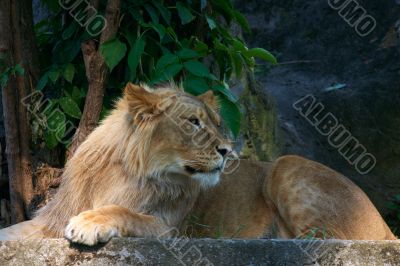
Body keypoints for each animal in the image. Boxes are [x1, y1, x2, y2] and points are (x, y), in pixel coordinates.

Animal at [0, 82, 396, 244]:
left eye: (217, 123)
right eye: (193, 122)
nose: (227, 151)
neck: (125, 173)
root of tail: (385, 225)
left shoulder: (170, 229)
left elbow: (123, 212)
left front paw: (91, 222)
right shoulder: (48, 221)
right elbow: (12, 231)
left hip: (286, 166)